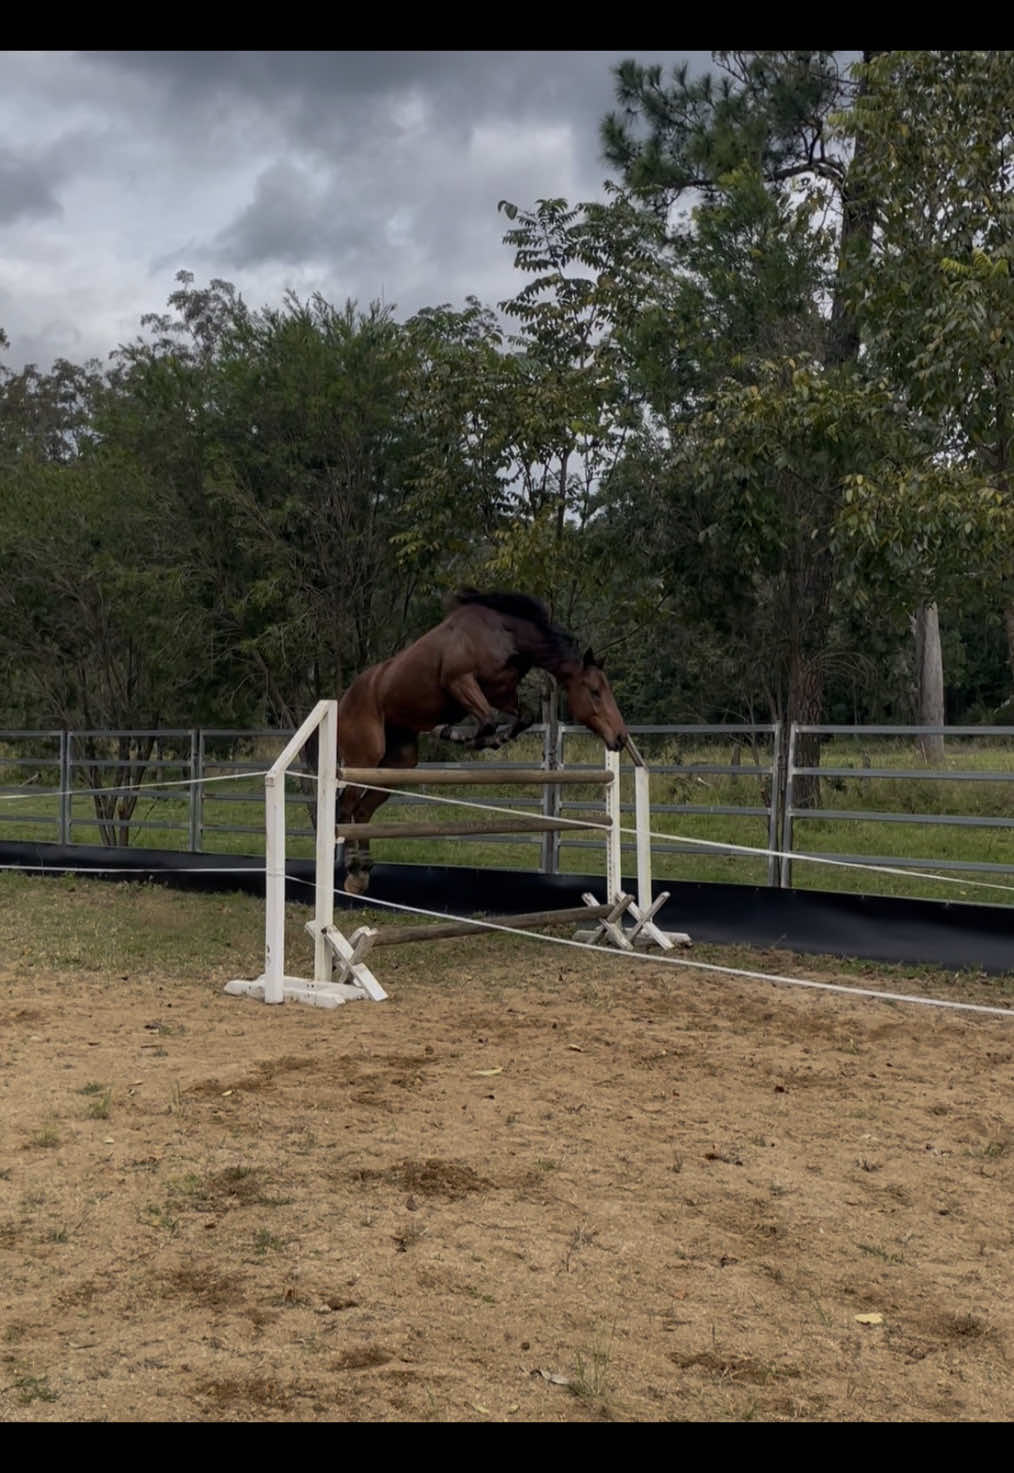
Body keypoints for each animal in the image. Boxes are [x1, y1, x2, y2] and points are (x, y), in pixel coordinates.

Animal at [334, 589, 631, 894]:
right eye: (594, 692)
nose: (620, 737)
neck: (506, 634)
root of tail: (343, 700)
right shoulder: (460, 681)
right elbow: (488, 719)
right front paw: (465, 737)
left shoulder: (502, 693)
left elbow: (522, 716)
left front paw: (492, 738)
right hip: (364, 758)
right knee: (346, 806)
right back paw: (352, 867)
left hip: (397, 764)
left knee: (363, 810)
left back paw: (361, 873)